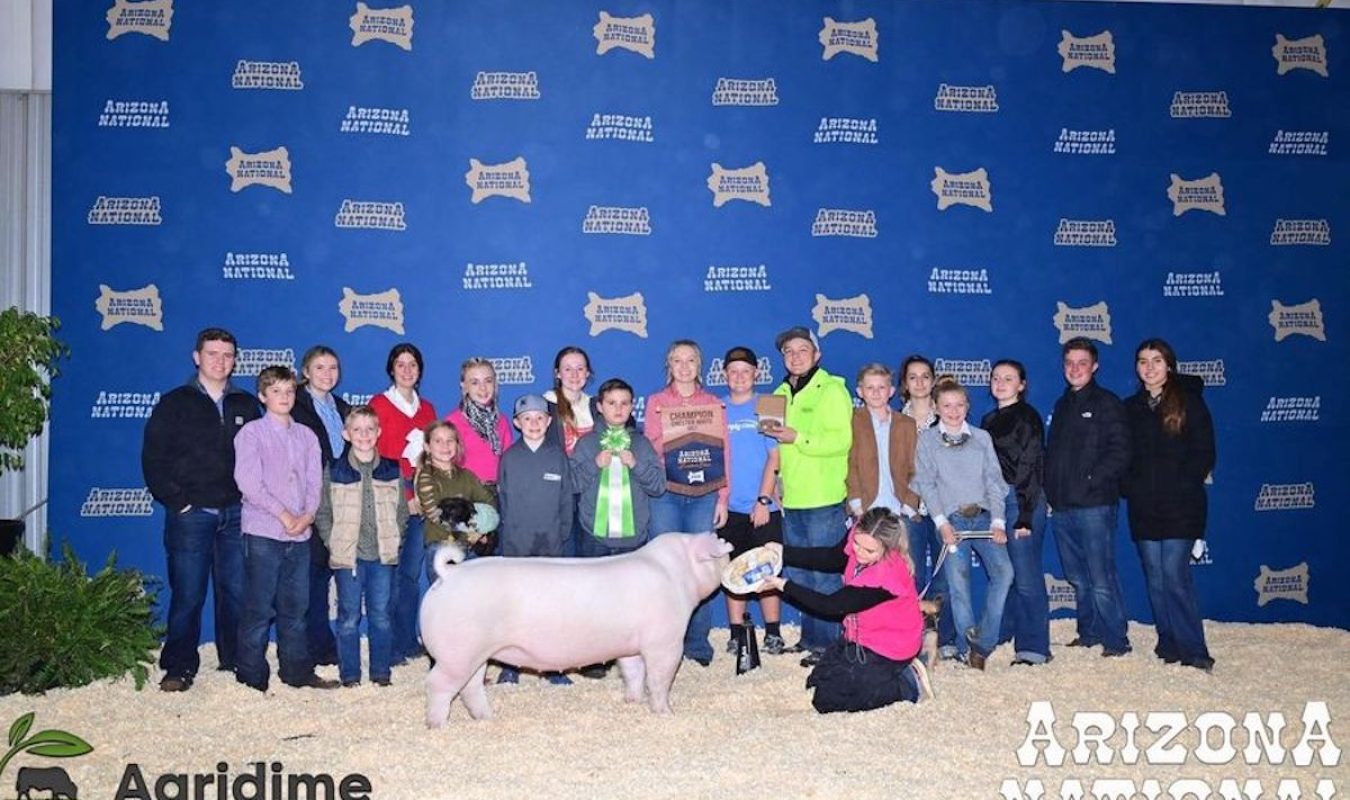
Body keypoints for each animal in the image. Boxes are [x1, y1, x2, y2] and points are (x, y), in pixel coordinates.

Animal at [423, 531, 734, 723]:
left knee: (470, 687)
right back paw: (438, 726)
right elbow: (659, 679)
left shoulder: (631, 646)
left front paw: (631, 701)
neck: (677, 573)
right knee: (439, 684)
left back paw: (488, 718)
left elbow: (633, 672)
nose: (731, 555)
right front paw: (666, 713)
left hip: (473, 654)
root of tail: (449, 574)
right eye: (721, 552)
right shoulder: (665, 641)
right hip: (458, 652)